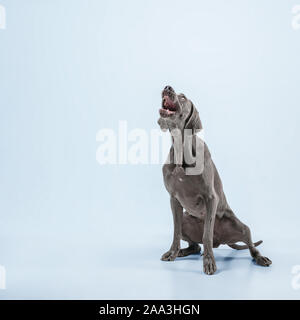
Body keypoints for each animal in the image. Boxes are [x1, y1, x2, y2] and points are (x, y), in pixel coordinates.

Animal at [157, 85, 272, 276]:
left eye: (183, 97)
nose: (167, 87)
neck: (182, 151)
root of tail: (222, 241)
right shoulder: (173, 199)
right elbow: (175, 231)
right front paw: (172, 252)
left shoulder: (211, 198)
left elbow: (207, 235)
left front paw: (209, 262)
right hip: (187, 220)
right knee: (195, 245)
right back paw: (183, 251)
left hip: (240, 226)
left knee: (250, 245)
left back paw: (260, 258)